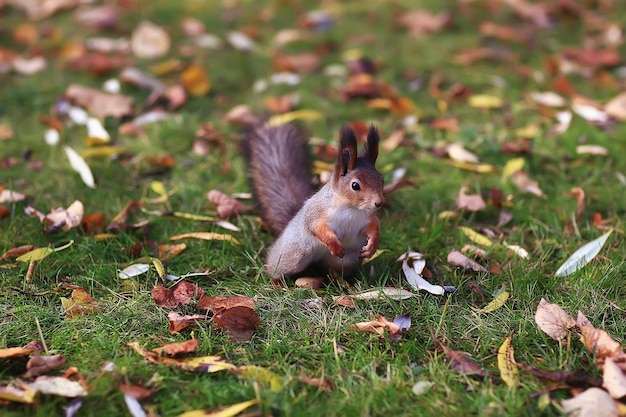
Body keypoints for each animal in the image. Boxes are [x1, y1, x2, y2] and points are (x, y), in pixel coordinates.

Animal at [243, 122, 380, 282]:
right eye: (355, 185)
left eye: (381, 180)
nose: (379, 203)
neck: (352, 209)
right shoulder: (317, 212)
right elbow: (316, 227)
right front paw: (334, 244)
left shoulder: (367, 218)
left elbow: (374, 227)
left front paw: (372, 246)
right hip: (292, 257)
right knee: (276, 268)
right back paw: (276, 281)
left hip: (344, 261)